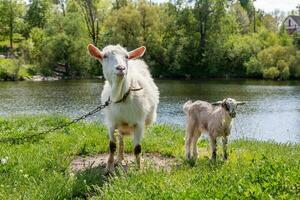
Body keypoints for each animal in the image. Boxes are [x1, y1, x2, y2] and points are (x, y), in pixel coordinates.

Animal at [87, 43, 159, 172]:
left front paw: (139, 169)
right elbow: (112, 146)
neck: (121, 96)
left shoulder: (139, 123)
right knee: (120, 140)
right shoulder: (111, 123)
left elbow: (137, 148)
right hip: (120, 125)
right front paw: (108, 168)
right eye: (104, 56)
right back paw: (119, 159)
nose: (121, 68)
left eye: (126, 56)